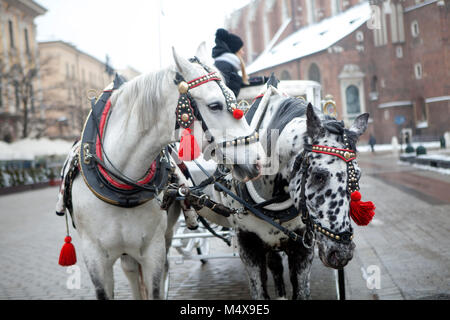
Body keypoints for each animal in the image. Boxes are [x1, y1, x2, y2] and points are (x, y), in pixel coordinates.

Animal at [56, 45, 262, 300]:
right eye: (215, 105)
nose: (257, 160)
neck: (122, 185)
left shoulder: (152, 250)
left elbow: (155, 286)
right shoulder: (94, 258)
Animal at [171, 85, 370, 300]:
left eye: (357, 176)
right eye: (319, 175)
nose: (342, 253)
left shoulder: (302, 246)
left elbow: (300, 291)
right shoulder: (248, 245)